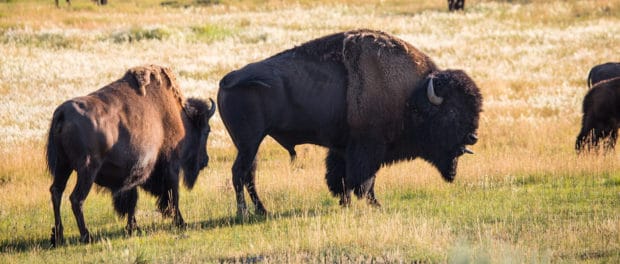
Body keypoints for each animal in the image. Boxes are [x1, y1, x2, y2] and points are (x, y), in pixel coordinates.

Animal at [46, 64, 216, 245]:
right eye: (207, 130)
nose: (205, 160)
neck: (180, 117)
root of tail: (62, 113)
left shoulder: (133, 174)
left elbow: (132, 200)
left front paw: (133, 228)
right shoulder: (171, 166)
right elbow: (173, 195)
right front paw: (181, 223)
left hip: (63, 165)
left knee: (56, 191)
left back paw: (58, 236)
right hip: (87, 170)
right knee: (76, 199)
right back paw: (87, 236)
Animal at [218, 28, 484, 217]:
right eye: (453, 112)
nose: (472, 137)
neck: (410, 94)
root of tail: (228, 78)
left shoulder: (344, 149)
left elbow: (341, 178)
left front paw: (344, 203)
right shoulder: (369, 147)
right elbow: (365, 180)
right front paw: (375, 205)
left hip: (251, 144)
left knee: (249, 174)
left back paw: (262, 210)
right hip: (249, 142)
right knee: (239, 173)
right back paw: (243, 212)